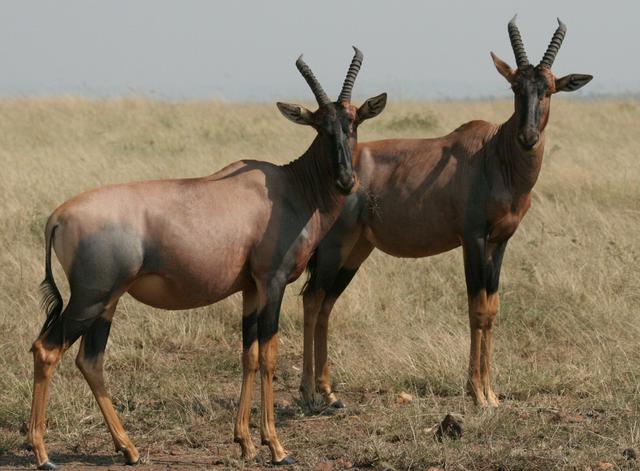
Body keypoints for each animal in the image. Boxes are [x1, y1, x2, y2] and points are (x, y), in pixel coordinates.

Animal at [27, 48, 388, 468]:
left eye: (352, 122)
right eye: (319, 126)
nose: (347, 181)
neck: (286, 188)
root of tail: (57, 217)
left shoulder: (250, 289)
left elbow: (249, 354)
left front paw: (245, 442)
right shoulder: (273, 282)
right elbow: (270, 355)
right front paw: (276, 447)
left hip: (107, 301)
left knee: (90, 359)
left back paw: (129, 449)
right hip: (90, 298)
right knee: (47, 350)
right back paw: (43, 453)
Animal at [302, 17, 592, 410]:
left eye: (548, 89)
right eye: (515, 86)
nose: (528, 136)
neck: (494, 155)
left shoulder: (500, 242)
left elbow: (493, 309)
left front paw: (492, 394)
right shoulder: (473, 238)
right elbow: (477, 309)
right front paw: (478, 393)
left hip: (356, 250)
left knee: (326, 304)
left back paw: (330, 392)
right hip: (334, 247)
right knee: (312, 300)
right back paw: (308, 393)